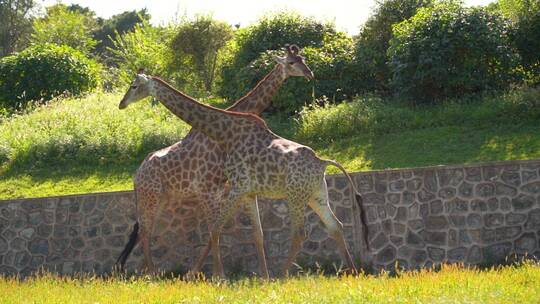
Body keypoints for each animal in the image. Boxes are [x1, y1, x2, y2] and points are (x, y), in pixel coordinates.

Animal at [116, 70, 370, 276]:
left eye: (134, 86)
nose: (121, 104)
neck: (225, 133)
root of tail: (322, 162)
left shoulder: (236, 187)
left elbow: (216, 229)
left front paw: (219, 277)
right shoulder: (246, 191)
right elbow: (253, 233)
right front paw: (256, 277)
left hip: (296, 196)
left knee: (301, 233)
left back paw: (283, 275)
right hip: (316, 195)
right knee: (335, 226)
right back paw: (352, 272)